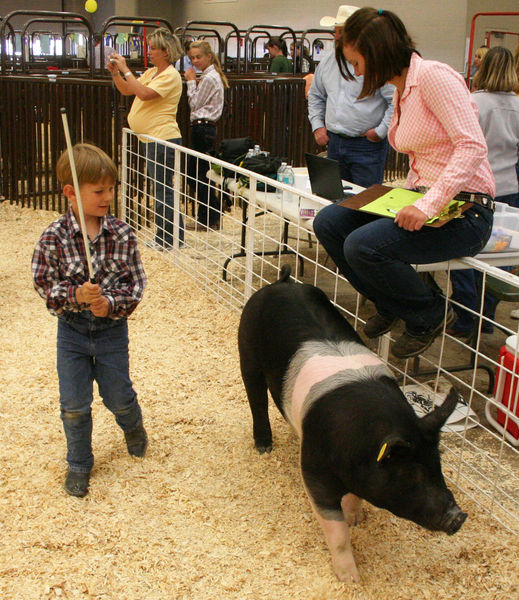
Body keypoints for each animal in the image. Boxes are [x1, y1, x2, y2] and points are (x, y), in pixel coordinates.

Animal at [238, 266, 470, 580]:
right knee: (257, 399)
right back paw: (264, 447)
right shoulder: (315, 472)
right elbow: (336, 532)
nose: (459, 517)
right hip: (246, 348)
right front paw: (351, 579)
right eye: (411, 474)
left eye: (438, 467)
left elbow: (355, 500)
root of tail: (282, 282)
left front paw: (356, 519)